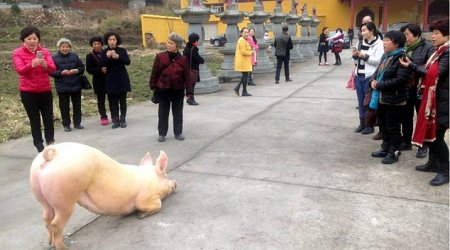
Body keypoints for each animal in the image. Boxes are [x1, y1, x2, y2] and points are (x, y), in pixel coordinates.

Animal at [29, 142, 177, 249]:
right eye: (166, 175)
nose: (175, 182)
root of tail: (52, 155)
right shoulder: (145, 198)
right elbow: (157, 205)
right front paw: (140, 216)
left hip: (40, 195)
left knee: (46, 217)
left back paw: (50, 243)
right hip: (65, 198)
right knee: (56, 223)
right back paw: (63, 248)